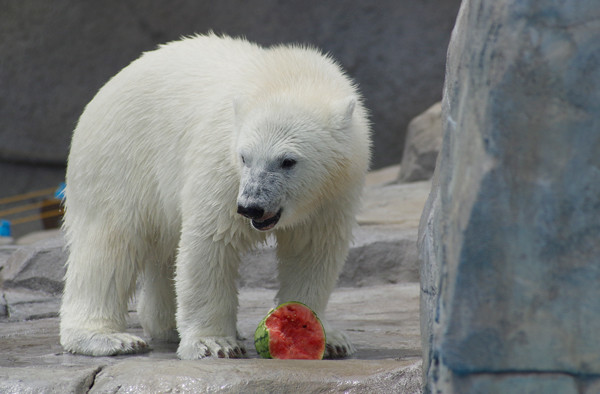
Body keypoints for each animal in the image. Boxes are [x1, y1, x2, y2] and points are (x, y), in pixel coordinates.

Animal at [59, 34, 370, 360]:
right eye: (245, 157)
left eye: (288, 161)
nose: (251, 207)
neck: (288, 76)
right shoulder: (222, 165)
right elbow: (211, 242)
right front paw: (213, 343)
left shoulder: (334, 192)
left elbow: (312, 250)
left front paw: (325, 336)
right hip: (117, 160)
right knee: (109, 246)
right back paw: (106, 337)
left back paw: (166, 325)